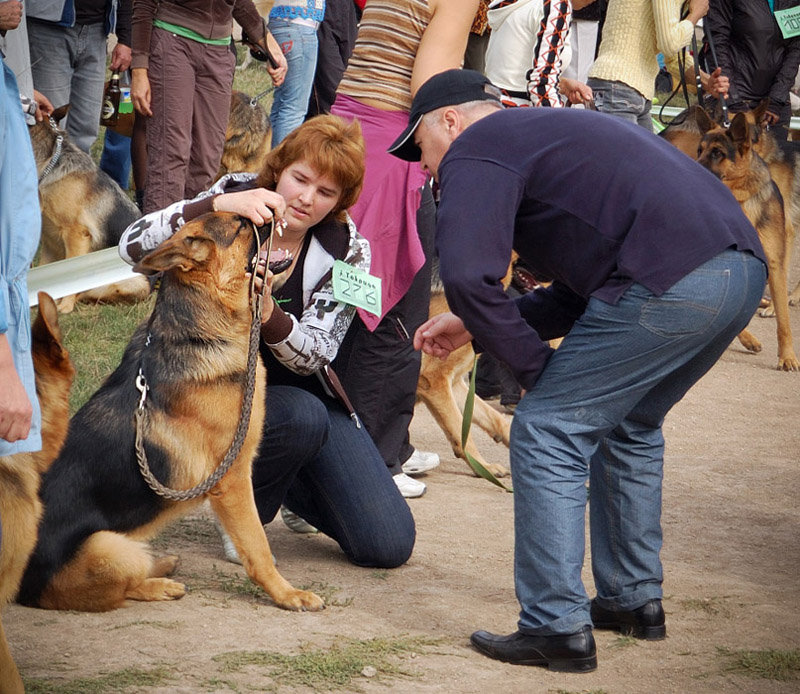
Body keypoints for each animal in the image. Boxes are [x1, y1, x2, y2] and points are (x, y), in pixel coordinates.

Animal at [16, 213, 322, 616]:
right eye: (242, 226)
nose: (274, 209)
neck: (201, 333)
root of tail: (18, 585)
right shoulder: (233, 479)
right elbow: (258, 545)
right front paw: (287, 594)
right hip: (109, 544)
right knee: (117, 588)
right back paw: (159, 583)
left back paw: (161, 563)